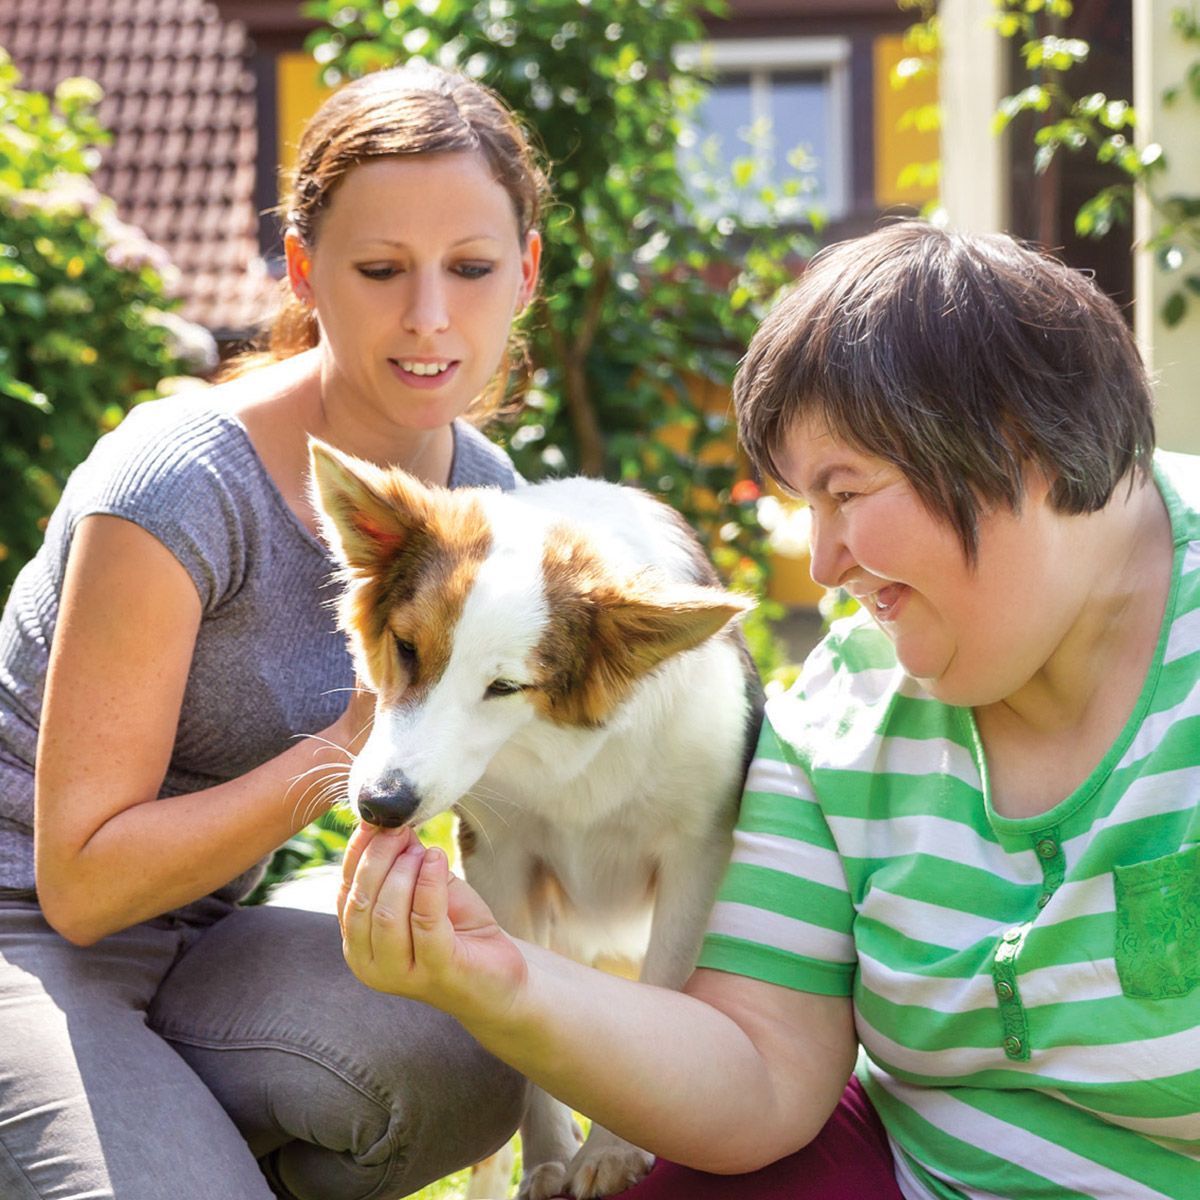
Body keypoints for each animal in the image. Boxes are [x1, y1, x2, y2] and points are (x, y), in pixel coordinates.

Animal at [309, 441, 758, 1200]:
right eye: (406, 648)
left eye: (504, 687)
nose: (381, 805)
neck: (568, 756)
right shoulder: (502, 857)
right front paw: (550, 1156)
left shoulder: (698, 858)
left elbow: (664, 995)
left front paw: (611, 1150)